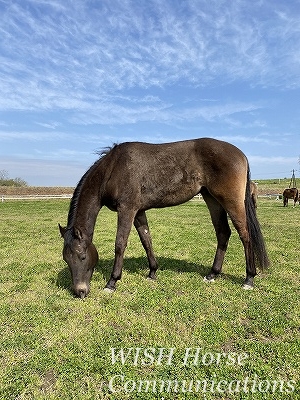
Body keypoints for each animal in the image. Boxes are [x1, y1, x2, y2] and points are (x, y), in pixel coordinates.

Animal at [58, 138, 270, 296]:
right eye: (66, 260)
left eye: (82, 256)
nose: (80, 291)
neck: (113, 168)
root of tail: (240, 154)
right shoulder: (138, 211)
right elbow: (146, 240)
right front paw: (152, 272)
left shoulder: (127, 209)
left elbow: (120, 244)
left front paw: (112, 282)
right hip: (212, 199)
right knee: (223, 233)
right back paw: (212, 274)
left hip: (231, 201)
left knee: (245, 234)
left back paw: (249, 278)